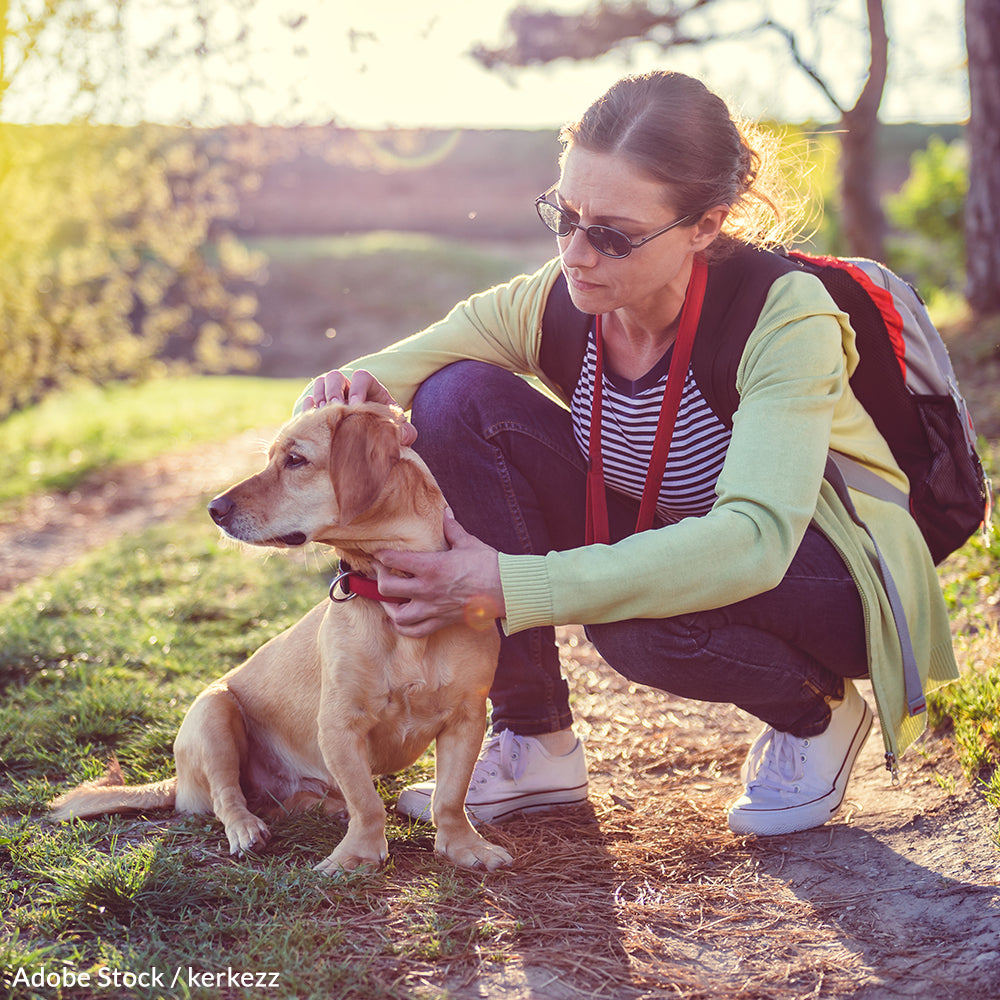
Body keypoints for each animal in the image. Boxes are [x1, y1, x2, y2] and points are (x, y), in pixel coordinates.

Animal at [50, 402, 512, 872]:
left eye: (295, 460)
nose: (213, 508)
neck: (388, 592)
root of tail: (177, 782)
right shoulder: (339, 725)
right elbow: (368, 803)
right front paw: (356, 855)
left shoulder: (466, 718)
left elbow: (450, 797)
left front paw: (464, 846)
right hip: (214, 712)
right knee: (228, 798)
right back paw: (247, 829)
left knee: (285, 801)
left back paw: (322, 806)